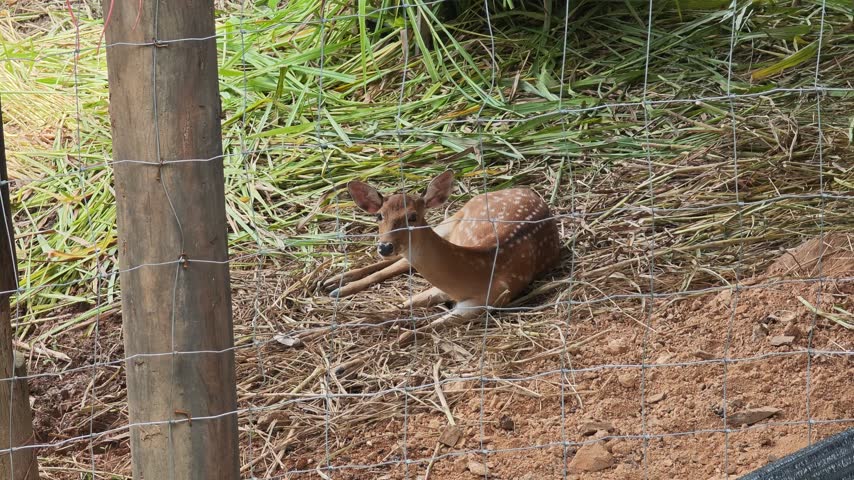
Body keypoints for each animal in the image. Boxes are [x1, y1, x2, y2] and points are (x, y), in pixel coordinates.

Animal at [321, 170, 561, 357]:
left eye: (413, 216)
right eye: (379, 216)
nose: (385, 247)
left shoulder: (490, 300)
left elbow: (409, 328)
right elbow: (402, 304)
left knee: (401, 263)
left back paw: (334, 285)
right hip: (453, 217)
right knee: (398, 264)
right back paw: (335, 284)